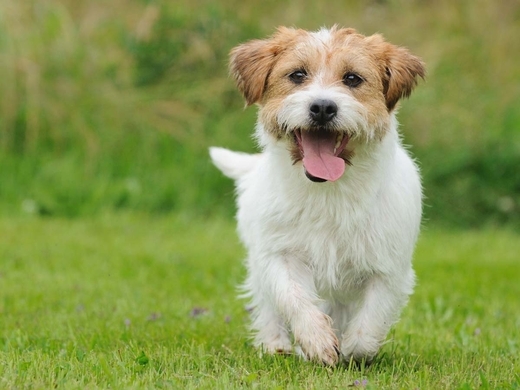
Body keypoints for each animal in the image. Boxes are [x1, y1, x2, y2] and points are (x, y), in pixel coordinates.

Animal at [209, 25, 424, 364]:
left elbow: (370, 322)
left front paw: (351, 349)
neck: (328, 191)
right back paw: (276, 344)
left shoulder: (389, 269)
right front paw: (315, 339)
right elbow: (293, 297)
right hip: (258, 262)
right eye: (297, 75)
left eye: (352, 79)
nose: (323, 107)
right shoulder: (279, 254)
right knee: (268, 305)